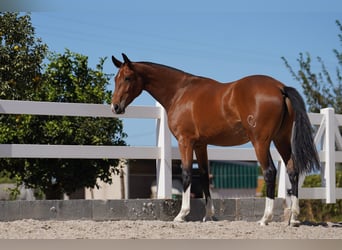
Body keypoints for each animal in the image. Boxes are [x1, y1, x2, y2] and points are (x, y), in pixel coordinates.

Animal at [110, 53, 320, 226]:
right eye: (115, 79)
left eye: (127, 78)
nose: (115, 107)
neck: (179, 92)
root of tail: (279, 87)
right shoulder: (201, 144)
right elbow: (204, 175)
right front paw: (208, 215)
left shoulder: (185, 141)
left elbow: (186, 173)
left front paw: (182, 214)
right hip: (281, 139)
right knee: (293, 171)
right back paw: (294, 218)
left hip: (261, 142)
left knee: (270, 172)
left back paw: (265, 218)